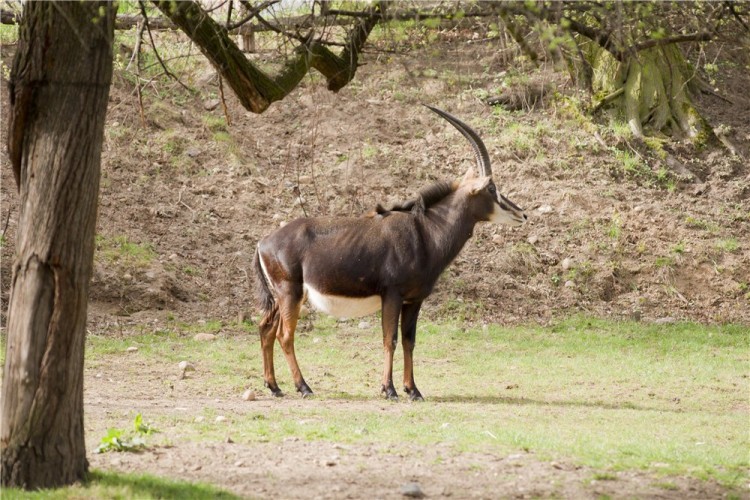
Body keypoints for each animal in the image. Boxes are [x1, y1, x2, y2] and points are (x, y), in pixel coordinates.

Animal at [256, 104, 524, 398]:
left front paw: (413, 389)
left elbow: (409, 341)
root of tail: (263, 243)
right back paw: (303, 386)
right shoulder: (392, 295)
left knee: (265, 329)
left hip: (281, 297)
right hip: (290, 293)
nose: (521, 213)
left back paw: (274, 386)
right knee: (284, 335)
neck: (426, 231)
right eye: (491, 188)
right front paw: (390, 389)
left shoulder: (414, 300)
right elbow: (390, 340)